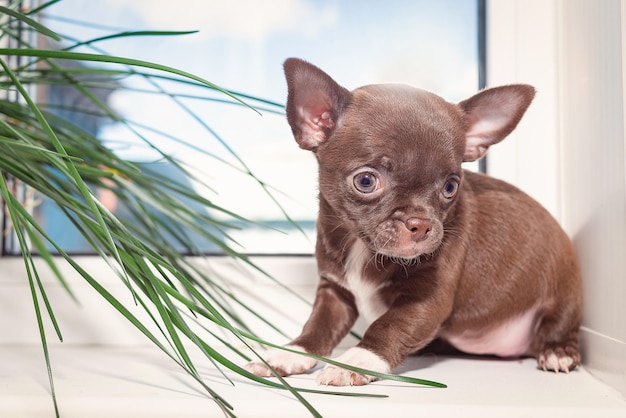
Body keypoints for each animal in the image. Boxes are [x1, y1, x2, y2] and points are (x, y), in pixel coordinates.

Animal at [244, 58, 580, 386]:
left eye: (450, 187)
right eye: (366, 181)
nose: (420, 223)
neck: (362, 247)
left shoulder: (426, 300)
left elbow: (388, 327)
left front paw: (355, 361)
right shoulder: (335, 293)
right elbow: (318, 326)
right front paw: (290, 353)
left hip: (564, 294)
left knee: (561, 326)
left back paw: (558, 351)